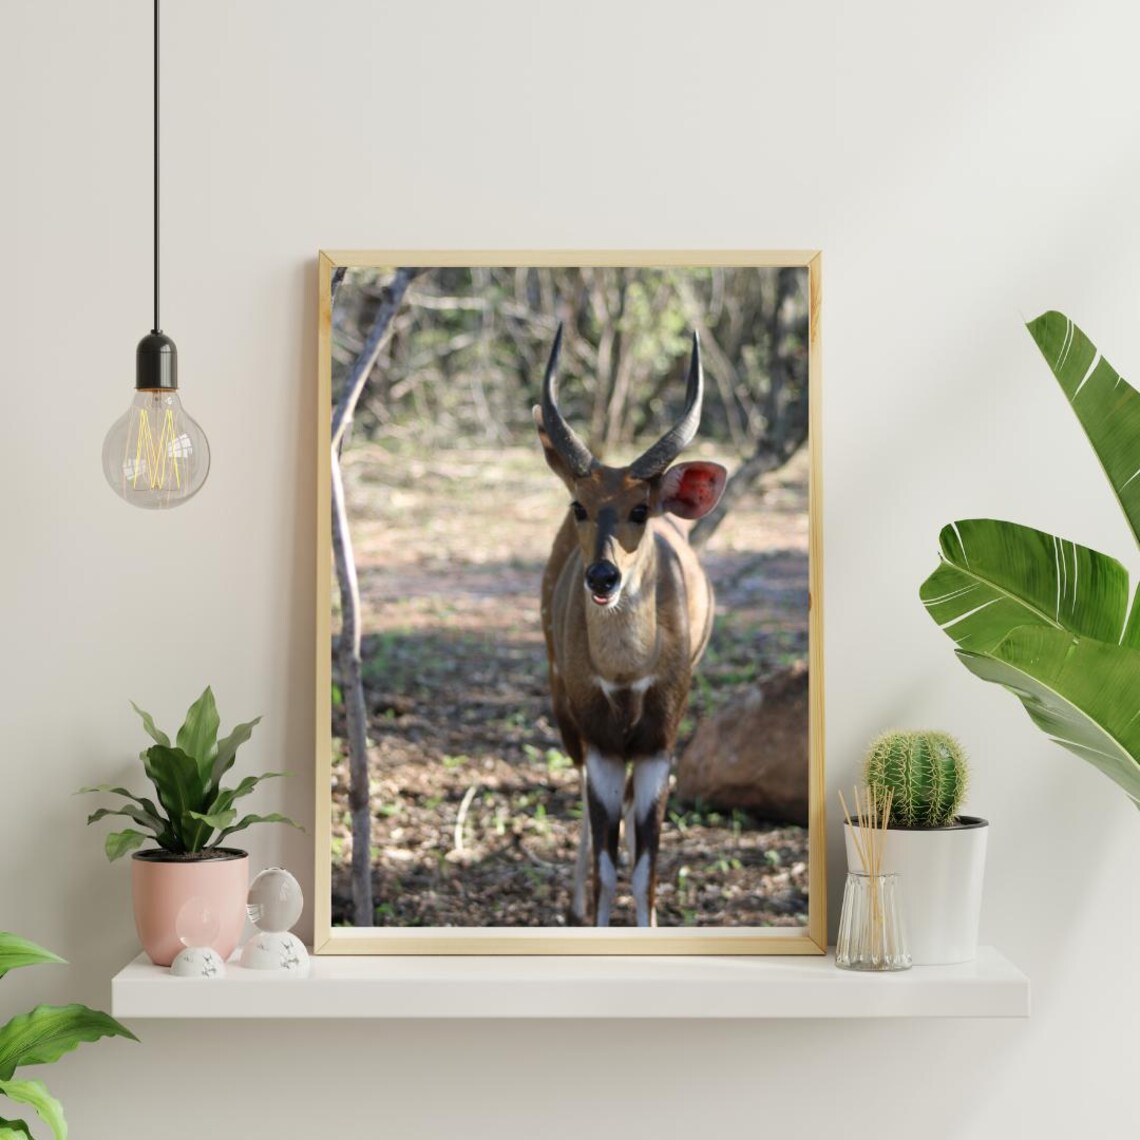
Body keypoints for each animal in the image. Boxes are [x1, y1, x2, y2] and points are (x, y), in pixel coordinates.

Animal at [534, 326, 726, 927]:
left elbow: (645, 870)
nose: (603, 576)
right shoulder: (600, 740)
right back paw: (572, 901)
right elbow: (607, 866)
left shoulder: (658, 744)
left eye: (640, 509)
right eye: (579, 505)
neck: (626, 671)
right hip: (565, 711)